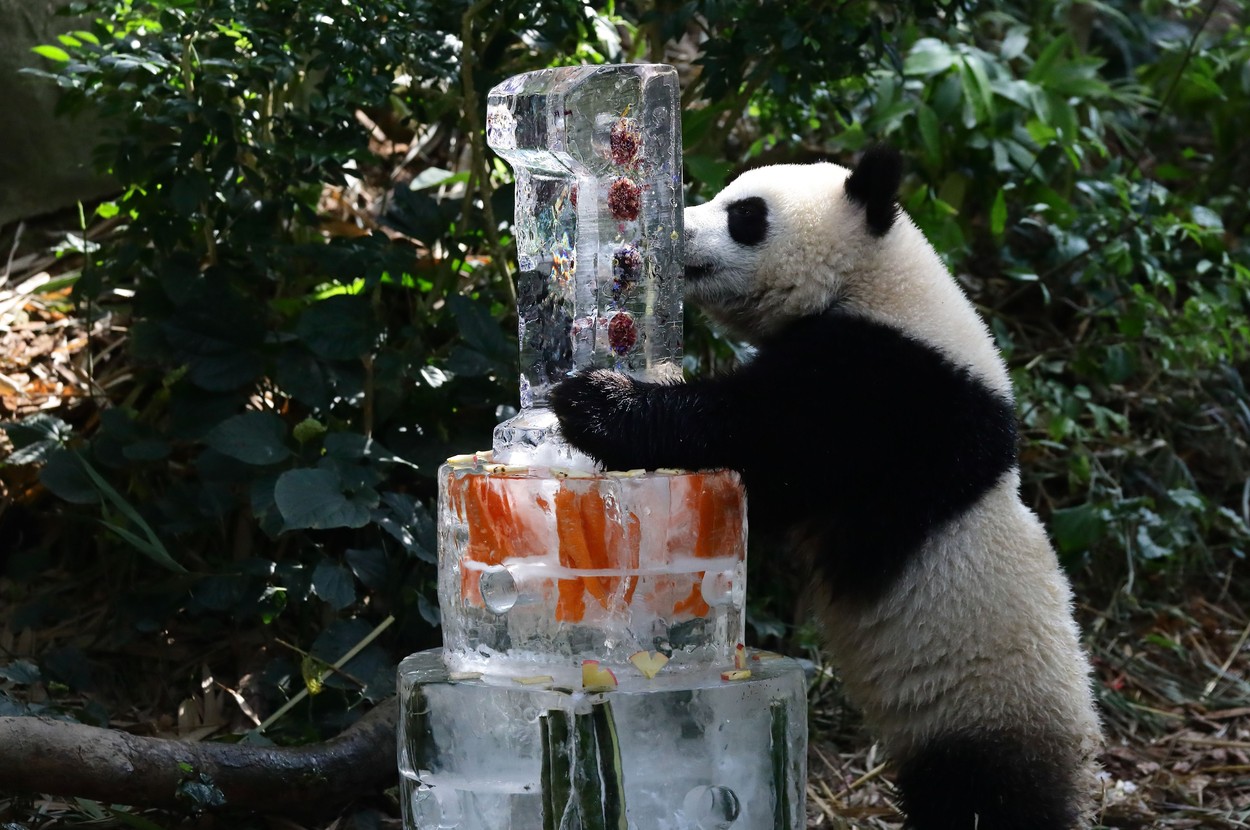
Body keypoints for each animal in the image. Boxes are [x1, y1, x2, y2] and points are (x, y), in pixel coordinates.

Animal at [550, 147, 1103, 830]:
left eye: (746, 215)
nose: (677, 232)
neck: (879, 282)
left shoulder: (890, 394)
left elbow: (764, 437)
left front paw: (599, 401)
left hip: (987, 711)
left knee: (985, 798)